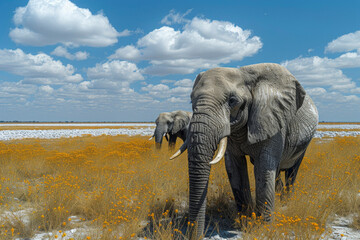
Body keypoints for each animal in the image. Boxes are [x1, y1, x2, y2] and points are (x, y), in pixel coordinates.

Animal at [171, 62, 318, 237]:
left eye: (232, 101)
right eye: (191, 100)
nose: (196, 236)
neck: (244, 73)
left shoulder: (272, 121)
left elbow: (264, 168)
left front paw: (263, 227)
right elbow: (235, 168)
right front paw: (245, 220)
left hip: (305, 142)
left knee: (292, 171)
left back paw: (286, 200)